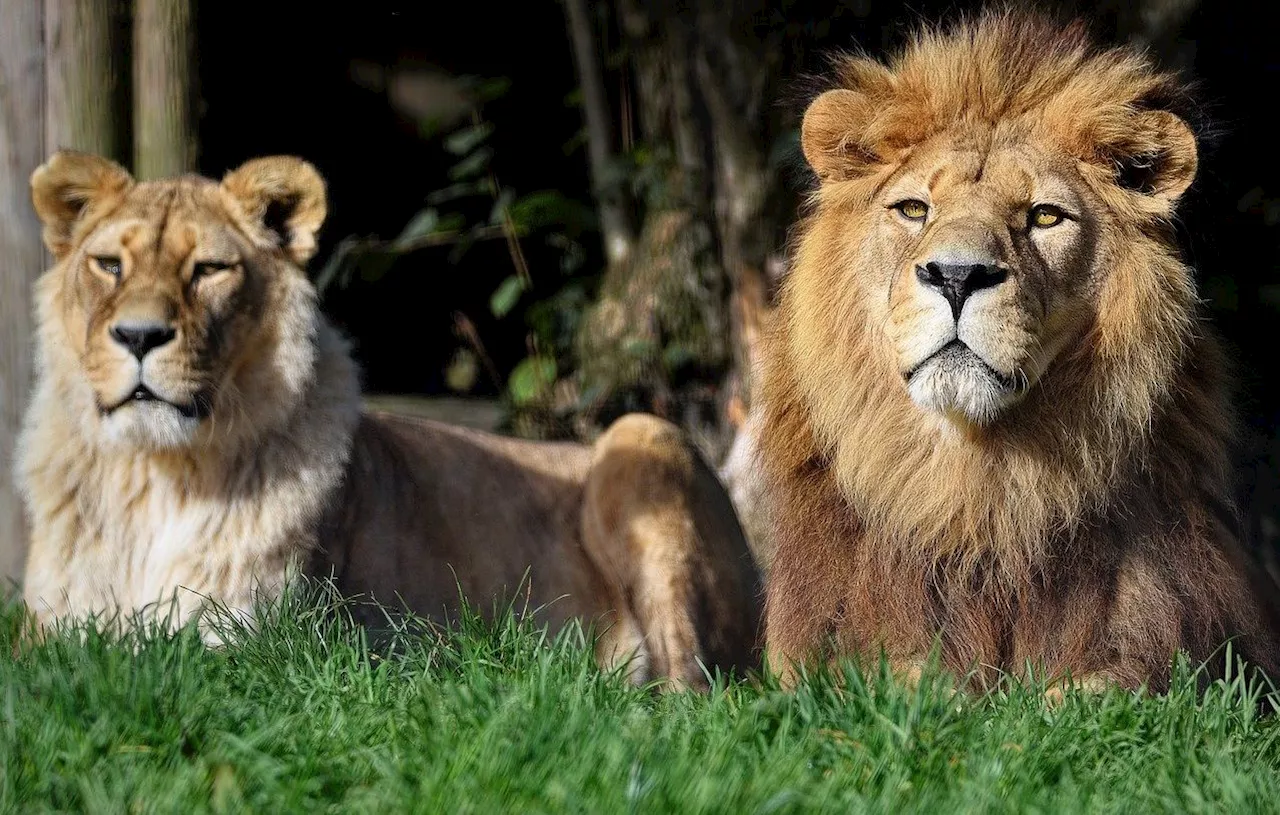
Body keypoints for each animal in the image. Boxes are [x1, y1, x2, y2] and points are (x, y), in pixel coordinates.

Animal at [17, 147, 757, 685]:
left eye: (208, 270)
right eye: (108, 264)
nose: (139, 336)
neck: (157, 471)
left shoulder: (261, 643)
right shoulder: (47, 636)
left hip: (642, 437)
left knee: (691, 689)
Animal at [752, 11, 1280, 690]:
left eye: (1046, 217)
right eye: (914, 209)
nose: (956, 276)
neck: (980, 493)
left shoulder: (1168, 646)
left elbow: (1099, 694)